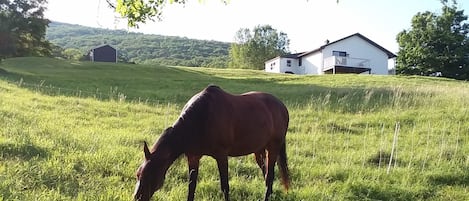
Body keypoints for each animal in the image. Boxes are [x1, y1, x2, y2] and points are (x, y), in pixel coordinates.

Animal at [131, 85, 288, 201]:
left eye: (150, 175)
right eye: (138, 174)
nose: (137, 198)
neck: (201, 118)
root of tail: (282, 106)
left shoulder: (222, 156)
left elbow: (225, 186)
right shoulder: (193, 157)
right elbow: (191, 186)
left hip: (273, 147)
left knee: (270, 175)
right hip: (258, 150)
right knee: (266, 172)